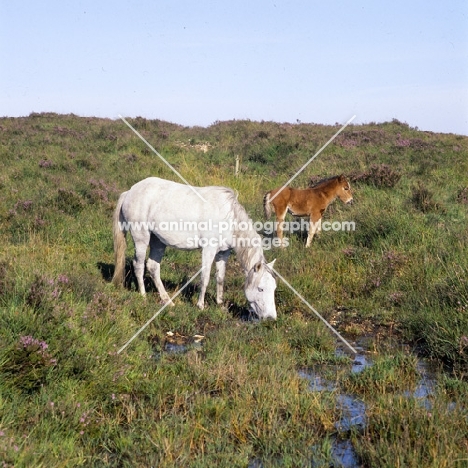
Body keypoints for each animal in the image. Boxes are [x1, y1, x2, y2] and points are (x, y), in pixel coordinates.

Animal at [111, 177, 276, 320]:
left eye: (274, 288)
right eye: (260, 288)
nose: (270, 317)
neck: (229, 217)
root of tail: (130, 191)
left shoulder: (224, 253)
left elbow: (220, 277)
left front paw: (220, 304)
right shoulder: (209, 249)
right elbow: (205, 277)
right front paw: (200, 305)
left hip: (158, 242)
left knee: (153, 266)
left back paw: (167, 300)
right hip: (141, 238)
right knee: (138, 265)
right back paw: (143, 295)